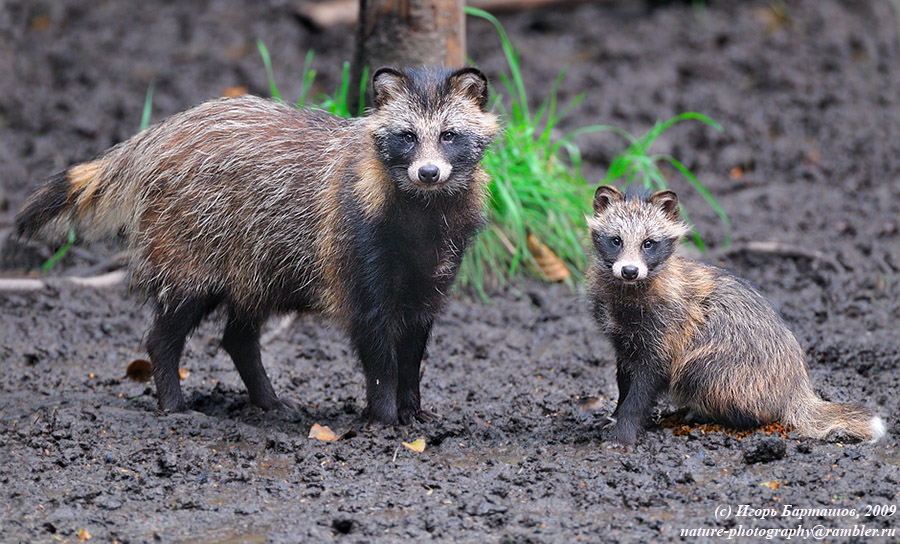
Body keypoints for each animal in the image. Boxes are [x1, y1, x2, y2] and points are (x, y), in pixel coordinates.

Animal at [14, 67, 500, 424]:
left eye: (450, 135)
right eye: (407, 136)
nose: (429, 172)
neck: (422, 211)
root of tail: (157, 135)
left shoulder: (437, 260)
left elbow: (414, 341)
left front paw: (411, 407)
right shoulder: (356, 241)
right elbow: (375, 336)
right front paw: (382, 415)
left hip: (258, 258)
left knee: (240, 335)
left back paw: (266, 398)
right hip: (190, 237)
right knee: (169, 326)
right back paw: (173, 398)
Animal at [584, 186, 884, 446]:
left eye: (648, 243)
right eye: (616, 241)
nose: (630, 270)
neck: (628, 291)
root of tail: (796, 386)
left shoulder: (667, 329)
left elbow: (647, 382)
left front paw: (625, 430)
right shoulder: (623, 336)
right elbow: (625, 377)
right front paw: (615, 414)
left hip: (732, 366)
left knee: (700, 371)